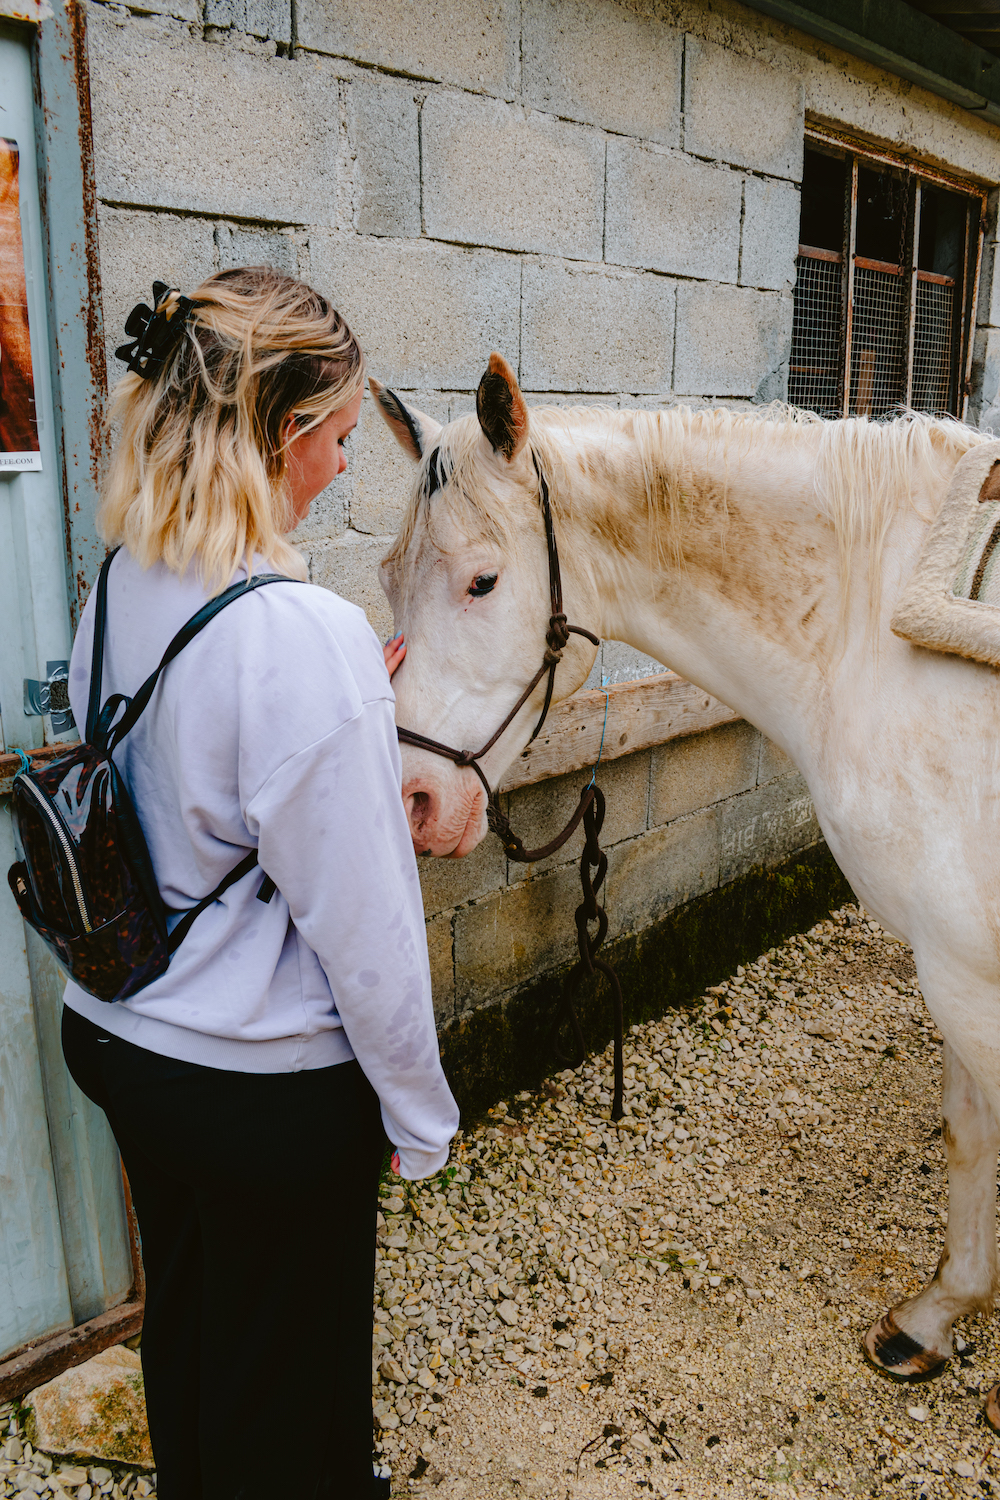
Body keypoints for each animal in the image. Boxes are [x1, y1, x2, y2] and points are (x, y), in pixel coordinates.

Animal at [370, 354, 1000, 1416]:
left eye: (483, 581)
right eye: (385, 577)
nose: (413, 798)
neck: (874, 628)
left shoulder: (968, 976)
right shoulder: (958, 970)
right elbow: (968, 1135)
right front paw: (939, 1314)